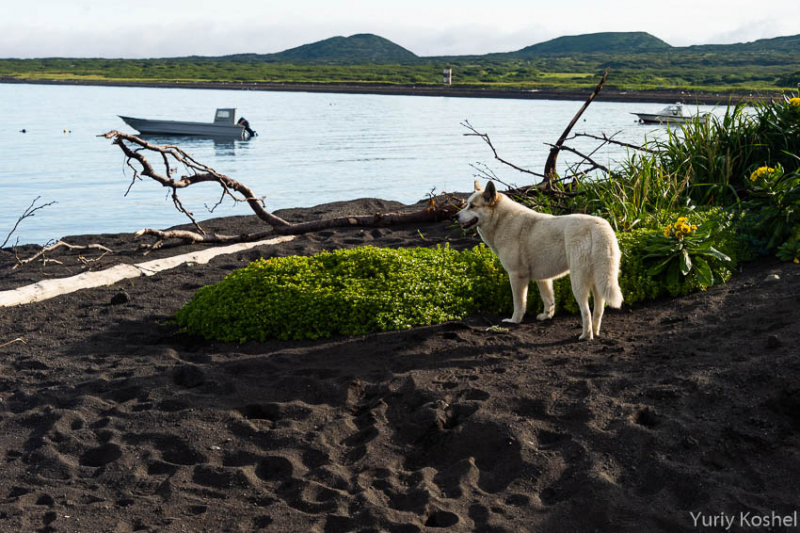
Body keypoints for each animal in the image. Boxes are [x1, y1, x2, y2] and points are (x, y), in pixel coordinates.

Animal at [456, 182, 624, 340]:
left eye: (472, 206)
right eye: (467, 204)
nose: (456, 216)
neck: (499, 220)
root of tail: (598, 226)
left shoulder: (517, 275)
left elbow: (519, 303)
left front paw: (514, 321)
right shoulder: (543, 278)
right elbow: (548, 300)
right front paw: (546, 316)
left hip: (578, 281)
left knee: (586, 311)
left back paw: (586, 336)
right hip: (598, 280)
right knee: (598, 310)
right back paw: (595, 332)